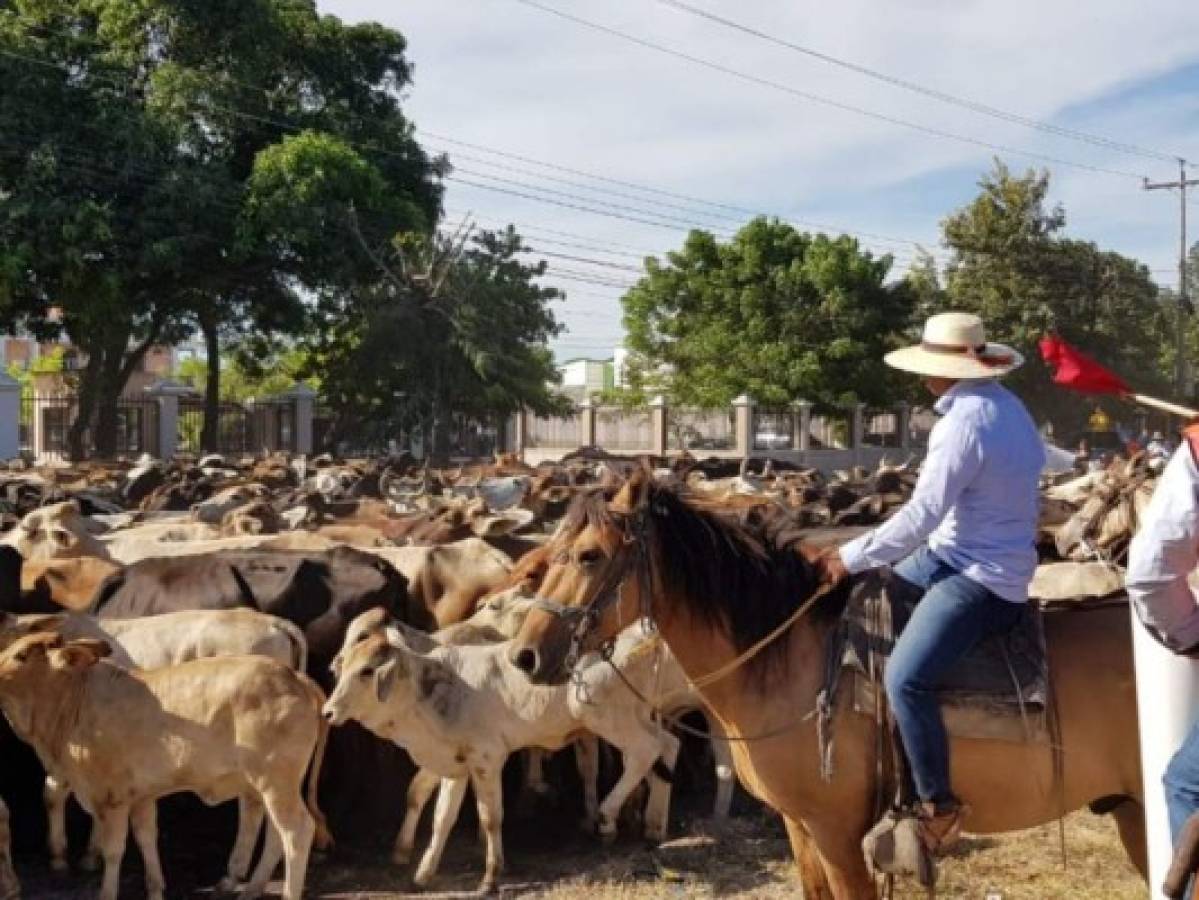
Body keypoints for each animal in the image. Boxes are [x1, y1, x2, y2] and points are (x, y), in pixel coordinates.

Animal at [0, 632, 328, 900]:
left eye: (21, 655)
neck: (72, 702)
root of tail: (294, 677)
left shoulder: (112, 797)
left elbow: (113, 850)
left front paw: (107, 892)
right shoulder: (142, 797)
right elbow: (146, 839)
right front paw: (155, 888)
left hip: (276, 782)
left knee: (297, 831)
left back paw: (286, 892)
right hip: (270, 785)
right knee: (275, 834)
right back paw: (251, 888)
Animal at [510, 472, 1146, 900]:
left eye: (589, 555)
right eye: (548, 553)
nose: (525, 654)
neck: (786, 655)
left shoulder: (837, 832)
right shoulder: (801, 828)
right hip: (1133, 814)